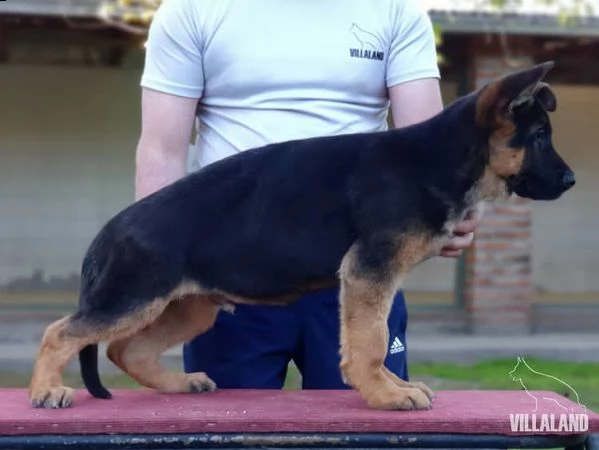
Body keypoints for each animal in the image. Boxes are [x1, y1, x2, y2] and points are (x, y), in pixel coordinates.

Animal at [29, 60, 576, 412]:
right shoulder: (368, 271)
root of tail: (108, 231)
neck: (439, 156)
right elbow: (370, 340)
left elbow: (371, 336)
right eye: (540, 138)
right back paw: (45, 391)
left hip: (188, 306)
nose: (571, 181)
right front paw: (386, 394)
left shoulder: (370, 278)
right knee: (62, 331)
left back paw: (179, 383)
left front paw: (386, 387)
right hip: (135, 297)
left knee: (126, 351)